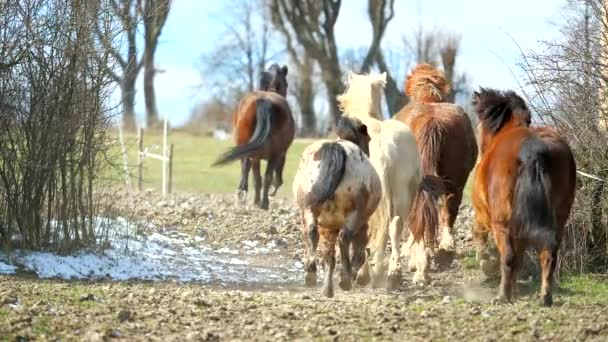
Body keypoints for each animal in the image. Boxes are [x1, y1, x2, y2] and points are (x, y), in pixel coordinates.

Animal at [211, 63, 294, 208]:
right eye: (286, 83)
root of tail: (264, 101)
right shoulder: (281, 154)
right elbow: (276, 176)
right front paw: (272, 190)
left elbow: (252, 173)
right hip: (273, 154)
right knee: (264, 176)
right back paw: (263, 203)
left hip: (249, 149)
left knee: (251, 172)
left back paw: (245, 196)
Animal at [294, 116, 380, 298]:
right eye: (368, 139)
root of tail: (336, 148)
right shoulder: (362, 225)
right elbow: (358, 254)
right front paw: (350, 276)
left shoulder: (327, 227)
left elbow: (329, 256)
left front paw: (327, 289)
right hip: (355, 215)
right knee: (345, 238)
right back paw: (345, 278)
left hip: (309, 210)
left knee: (311, 233)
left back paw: (311, 273)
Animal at [472, 87, 576, 306]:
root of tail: (532, 152)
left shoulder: (484, 216)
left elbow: (481, 237)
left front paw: (486, 264)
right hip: (557, 219)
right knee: (548, 255)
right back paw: (545, 296)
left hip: (501, 223)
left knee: (509, 256)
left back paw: (502, 295)